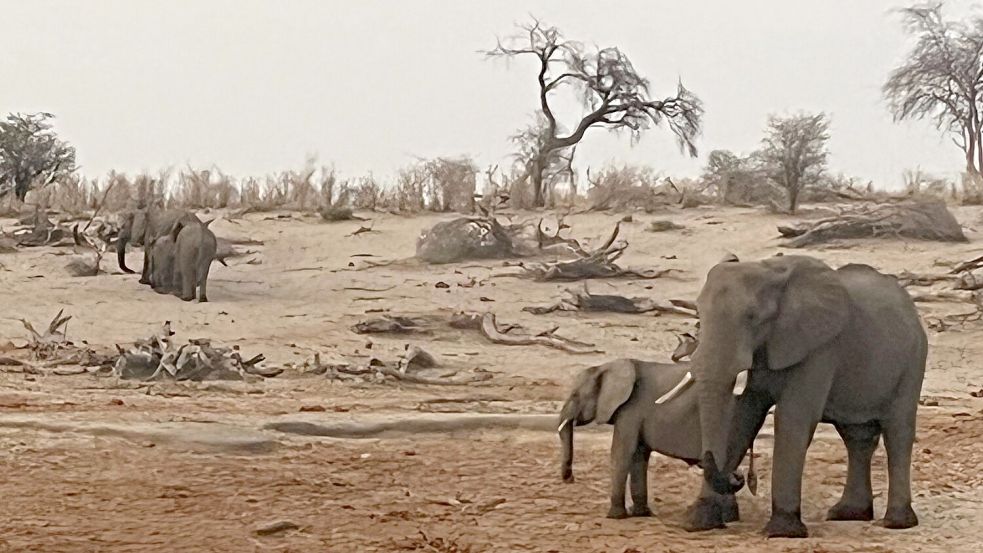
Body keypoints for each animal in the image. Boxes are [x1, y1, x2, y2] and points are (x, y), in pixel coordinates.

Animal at [556, 360, 740, 520]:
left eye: (575, 395)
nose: (570, 479)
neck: (606, 365)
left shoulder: (631, 410)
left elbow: (621, 452)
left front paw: (614, 516)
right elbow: (639, 456)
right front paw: (640, 514)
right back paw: (729, 517)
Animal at [672, 256, 928, 536]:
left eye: (752, 317)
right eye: (699, 314)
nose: (738, 477)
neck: (768, 270)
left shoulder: (819, 347)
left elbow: (793, 417)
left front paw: (782, 532)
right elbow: (746, 413)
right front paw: (697, 522)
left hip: (912, 361)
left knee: (897, 433)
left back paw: (896, 522)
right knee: (857, 437)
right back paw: (848, 514)